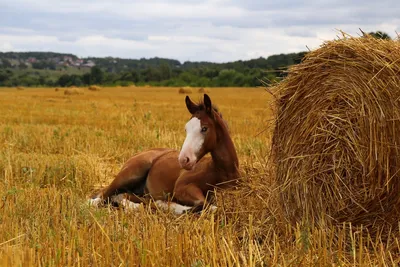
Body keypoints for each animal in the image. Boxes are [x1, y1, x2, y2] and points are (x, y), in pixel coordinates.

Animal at [89, 94, 239, 216]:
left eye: (204, 128)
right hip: (130, 174)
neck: (221, 172)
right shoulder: (182, 187)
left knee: (123, 196)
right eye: (186, 129)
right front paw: (169, 206)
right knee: (99, 198)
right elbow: (206, 205)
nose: (184, 160)